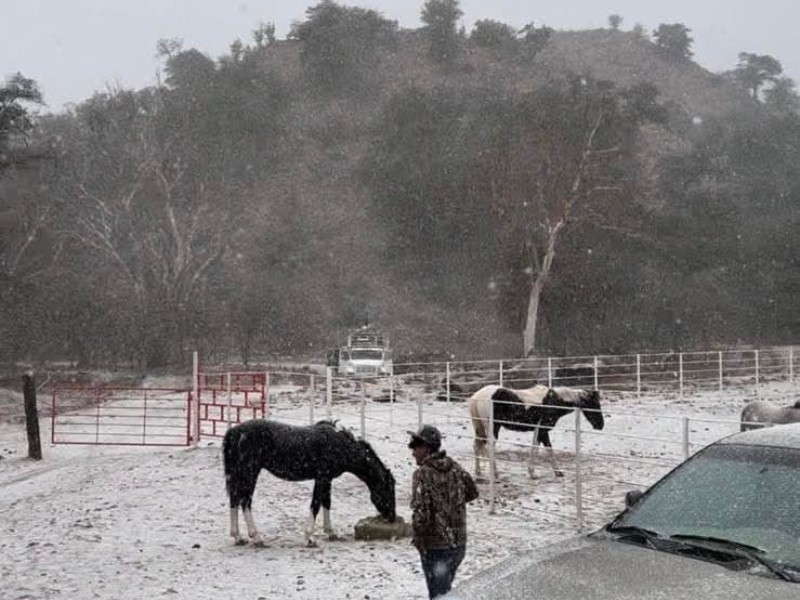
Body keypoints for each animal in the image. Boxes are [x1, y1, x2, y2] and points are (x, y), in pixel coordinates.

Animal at [222, 420, 396, 548]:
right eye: (388, 490)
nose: (392, 517)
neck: (340, 446)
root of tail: (235, 432)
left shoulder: (327, 479)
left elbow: (326, 503)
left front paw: (332, 533)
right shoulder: (321, 478)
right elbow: (316, 505)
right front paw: (309, 538)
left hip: (240, 474)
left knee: (234, 500)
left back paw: (238, 537)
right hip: (250, 473)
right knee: (245, 501)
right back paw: (257, 538)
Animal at [466, 386, 604, 480]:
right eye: (594, 404)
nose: (600, 425)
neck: (552, 401)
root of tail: (476, 397)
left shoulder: (538, 431)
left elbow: (535, 447)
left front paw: (534, 472)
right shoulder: (543, 431)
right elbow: (548, 449)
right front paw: (555, 472)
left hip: (480, 428)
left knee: (476, 446)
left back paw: (478, 472)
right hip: (493, 428)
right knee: (488, 447)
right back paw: (495, 473)